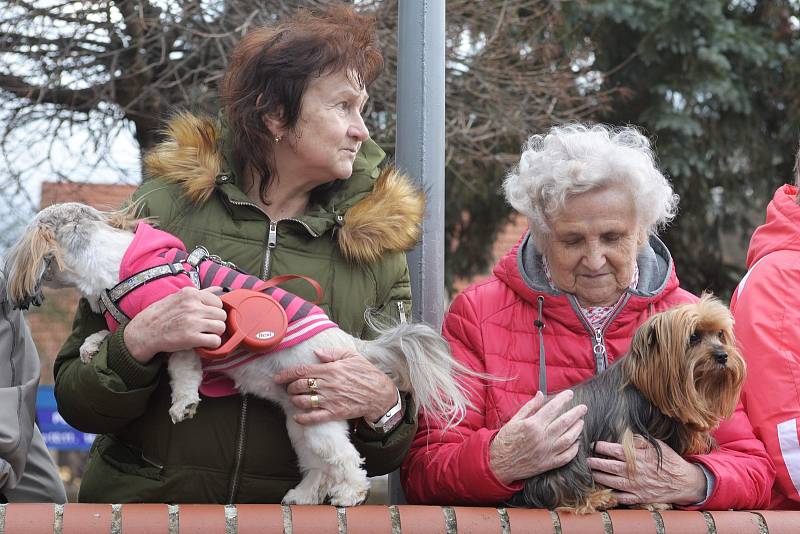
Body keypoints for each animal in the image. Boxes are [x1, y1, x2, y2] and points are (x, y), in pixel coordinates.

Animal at [4, 203, 468, 508]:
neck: (120, 267)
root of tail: (348, 344)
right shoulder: (151, 322)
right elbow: (116, 331)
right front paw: (91, 345)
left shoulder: (191, 329)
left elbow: (183, 374)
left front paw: (184, 405)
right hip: (302, 421)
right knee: (317, 466)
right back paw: (301, 496)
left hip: (321, 419)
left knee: (346, 460)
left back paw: (350, 494)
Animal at [516, 298, 748, 516]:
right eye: (694, 337)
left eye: (720, 335)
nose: (723, 355)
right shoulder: (624, 438)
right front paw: (650, 502)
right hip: (567, 455)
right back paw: (597, 498)